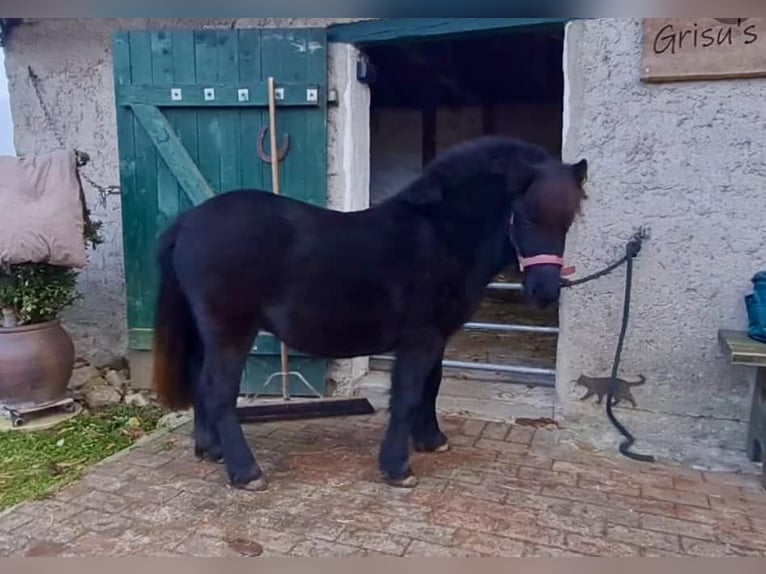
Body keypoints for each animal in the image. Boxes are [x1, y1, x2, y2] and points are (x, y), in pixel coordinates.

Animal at [153, 135, 592, 490]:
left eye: (568, 222)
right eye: (527, 217)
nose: (544, 292)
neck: (441, 234)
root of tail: (187, 222)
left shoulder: (437, 337)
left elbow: (431, 386)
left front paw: (431, 440)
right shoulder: (420, 338)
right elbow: (409, 394)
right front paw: (398, 468)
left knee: (198, 378)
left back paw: (211, 449)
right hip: (231, 331)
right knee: (218, 390)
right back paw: (246, 472)